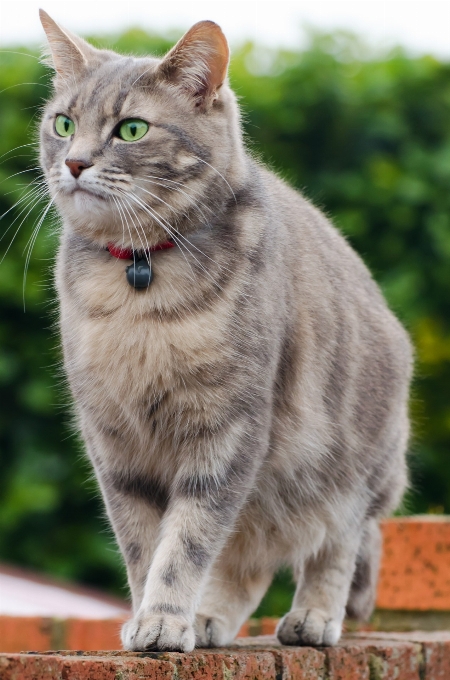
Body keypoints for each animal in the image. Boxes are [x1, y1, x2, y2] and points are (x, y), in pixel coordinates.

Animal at [37, 7, 412, 652]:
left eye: (130, 130)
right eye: (64, 123)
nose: (75, 162)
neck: (140, 281)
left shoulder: (228, 429)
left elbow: (187, 540)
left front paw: (165, 619)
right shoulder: (115, 442)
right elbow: (145, 546)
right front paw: (156, 618)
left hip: (353, 470)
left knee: (341, 544)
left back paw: (314, 618)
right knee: (247, 559)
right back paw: (210, 620)